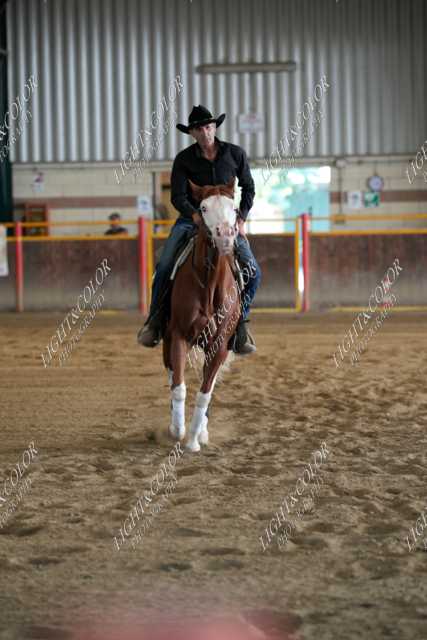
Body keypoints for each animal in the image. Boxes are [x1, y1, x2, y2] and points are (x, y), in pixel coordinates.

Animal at [162, 177, 242, 452]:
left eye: (234, 208)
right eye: (204, 208)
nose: (225, 235)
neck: (209, 285)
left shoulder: (219, 346)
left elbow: (205, 393)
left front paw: (194, 440)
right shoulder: (178, 336)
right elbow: (179, 386)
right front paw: (178, 430)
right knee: (171, 372)